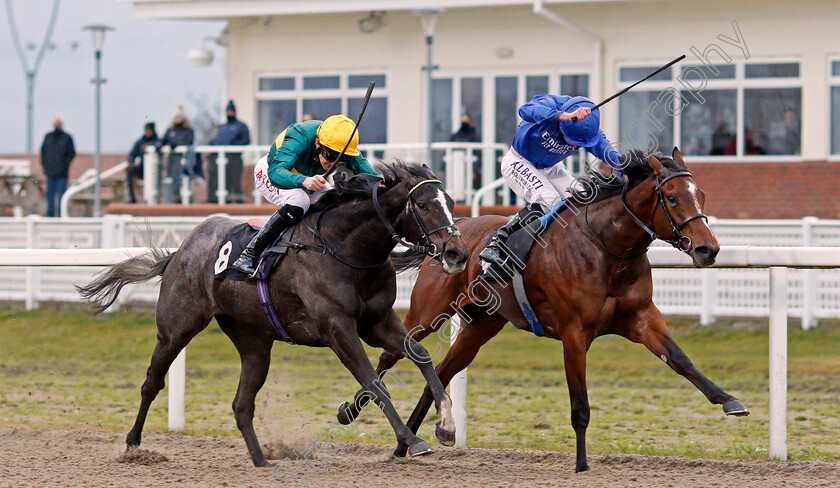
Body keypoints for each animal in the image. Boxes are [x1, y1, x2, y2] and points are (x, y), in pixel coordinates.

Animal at [77, 162, 472, 468]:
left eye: (451, 202)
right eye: (422, 205)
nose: (458, 253)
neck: (345, 246)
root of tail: (181, 250)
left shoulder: (376, 322)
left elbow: (418, 355)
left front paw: (446, 425)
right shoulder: (337, 328)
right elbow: (374, 383)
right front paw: (412, 440)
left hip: (253, 342)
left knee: (241, 404)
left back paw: (261, 460)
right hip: (177, 328)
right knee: (152, 382)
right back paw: (132, 444)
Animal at [338, 148, 752, 468]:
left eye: (701, 194)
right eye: (672, 198)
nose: (708, 249)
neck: (606, 247)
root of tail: (449, 235)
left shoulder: (641, 318)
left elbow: (681, 360)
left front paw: (730, 401)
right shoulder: (574, 333)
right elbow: (580, 405)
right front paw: (582, 465)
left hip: (480, 326)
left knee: (440, 371)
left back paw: (417, 437)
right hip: (429, 312)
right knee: (394, 354)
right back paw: (360, 413)